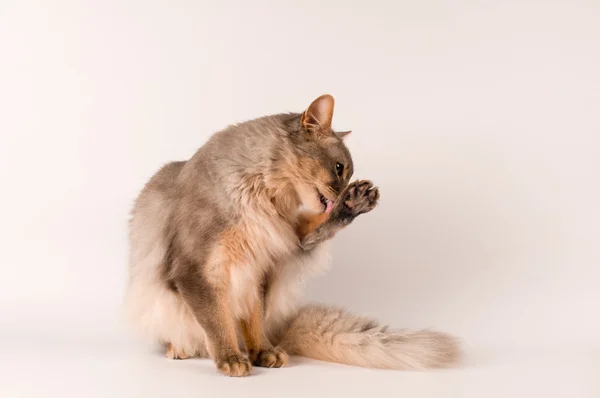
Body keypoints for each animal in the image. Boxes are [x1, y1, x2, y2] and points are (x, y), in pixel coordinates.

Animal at [126, 94, 460, 376]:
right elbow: (217, 320)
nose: (342, 191)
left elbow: (254, 321)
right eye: (339, 168)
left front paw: (262, 352)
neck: (264, 198)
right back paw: (181, 348)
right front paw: (230, 358)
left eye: (348, 174)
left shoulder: (267, 261)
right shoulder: (197, 270)